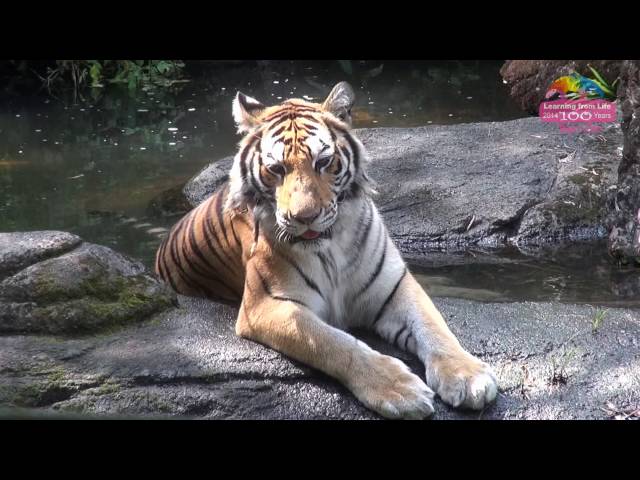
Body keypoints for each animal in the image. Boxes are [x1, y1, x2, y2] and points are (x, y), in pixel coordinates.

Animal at [156, 82, 500, 420]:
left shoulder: (394, 286)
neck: (331, 247)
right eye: (276, 169)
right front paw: (398, 389)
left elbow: (434, 326)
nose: (304, 217)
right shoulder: (267, 306)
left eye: (323, 162)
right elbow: (333, 343)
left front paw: (467, 376)